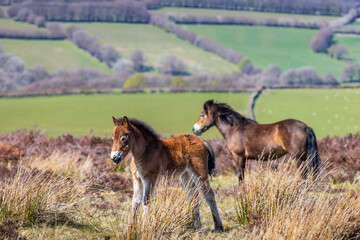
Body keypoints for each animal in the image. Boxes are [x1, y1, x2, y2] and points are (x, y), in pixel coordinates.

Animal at [193, 100, 322, 182]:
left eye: (202, 115)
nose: (195, 129)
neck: (235, 129)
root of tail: (306, 127)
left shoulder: (238, 157)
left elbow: (240, 176)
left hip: (298, 158)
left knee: (302, 175)